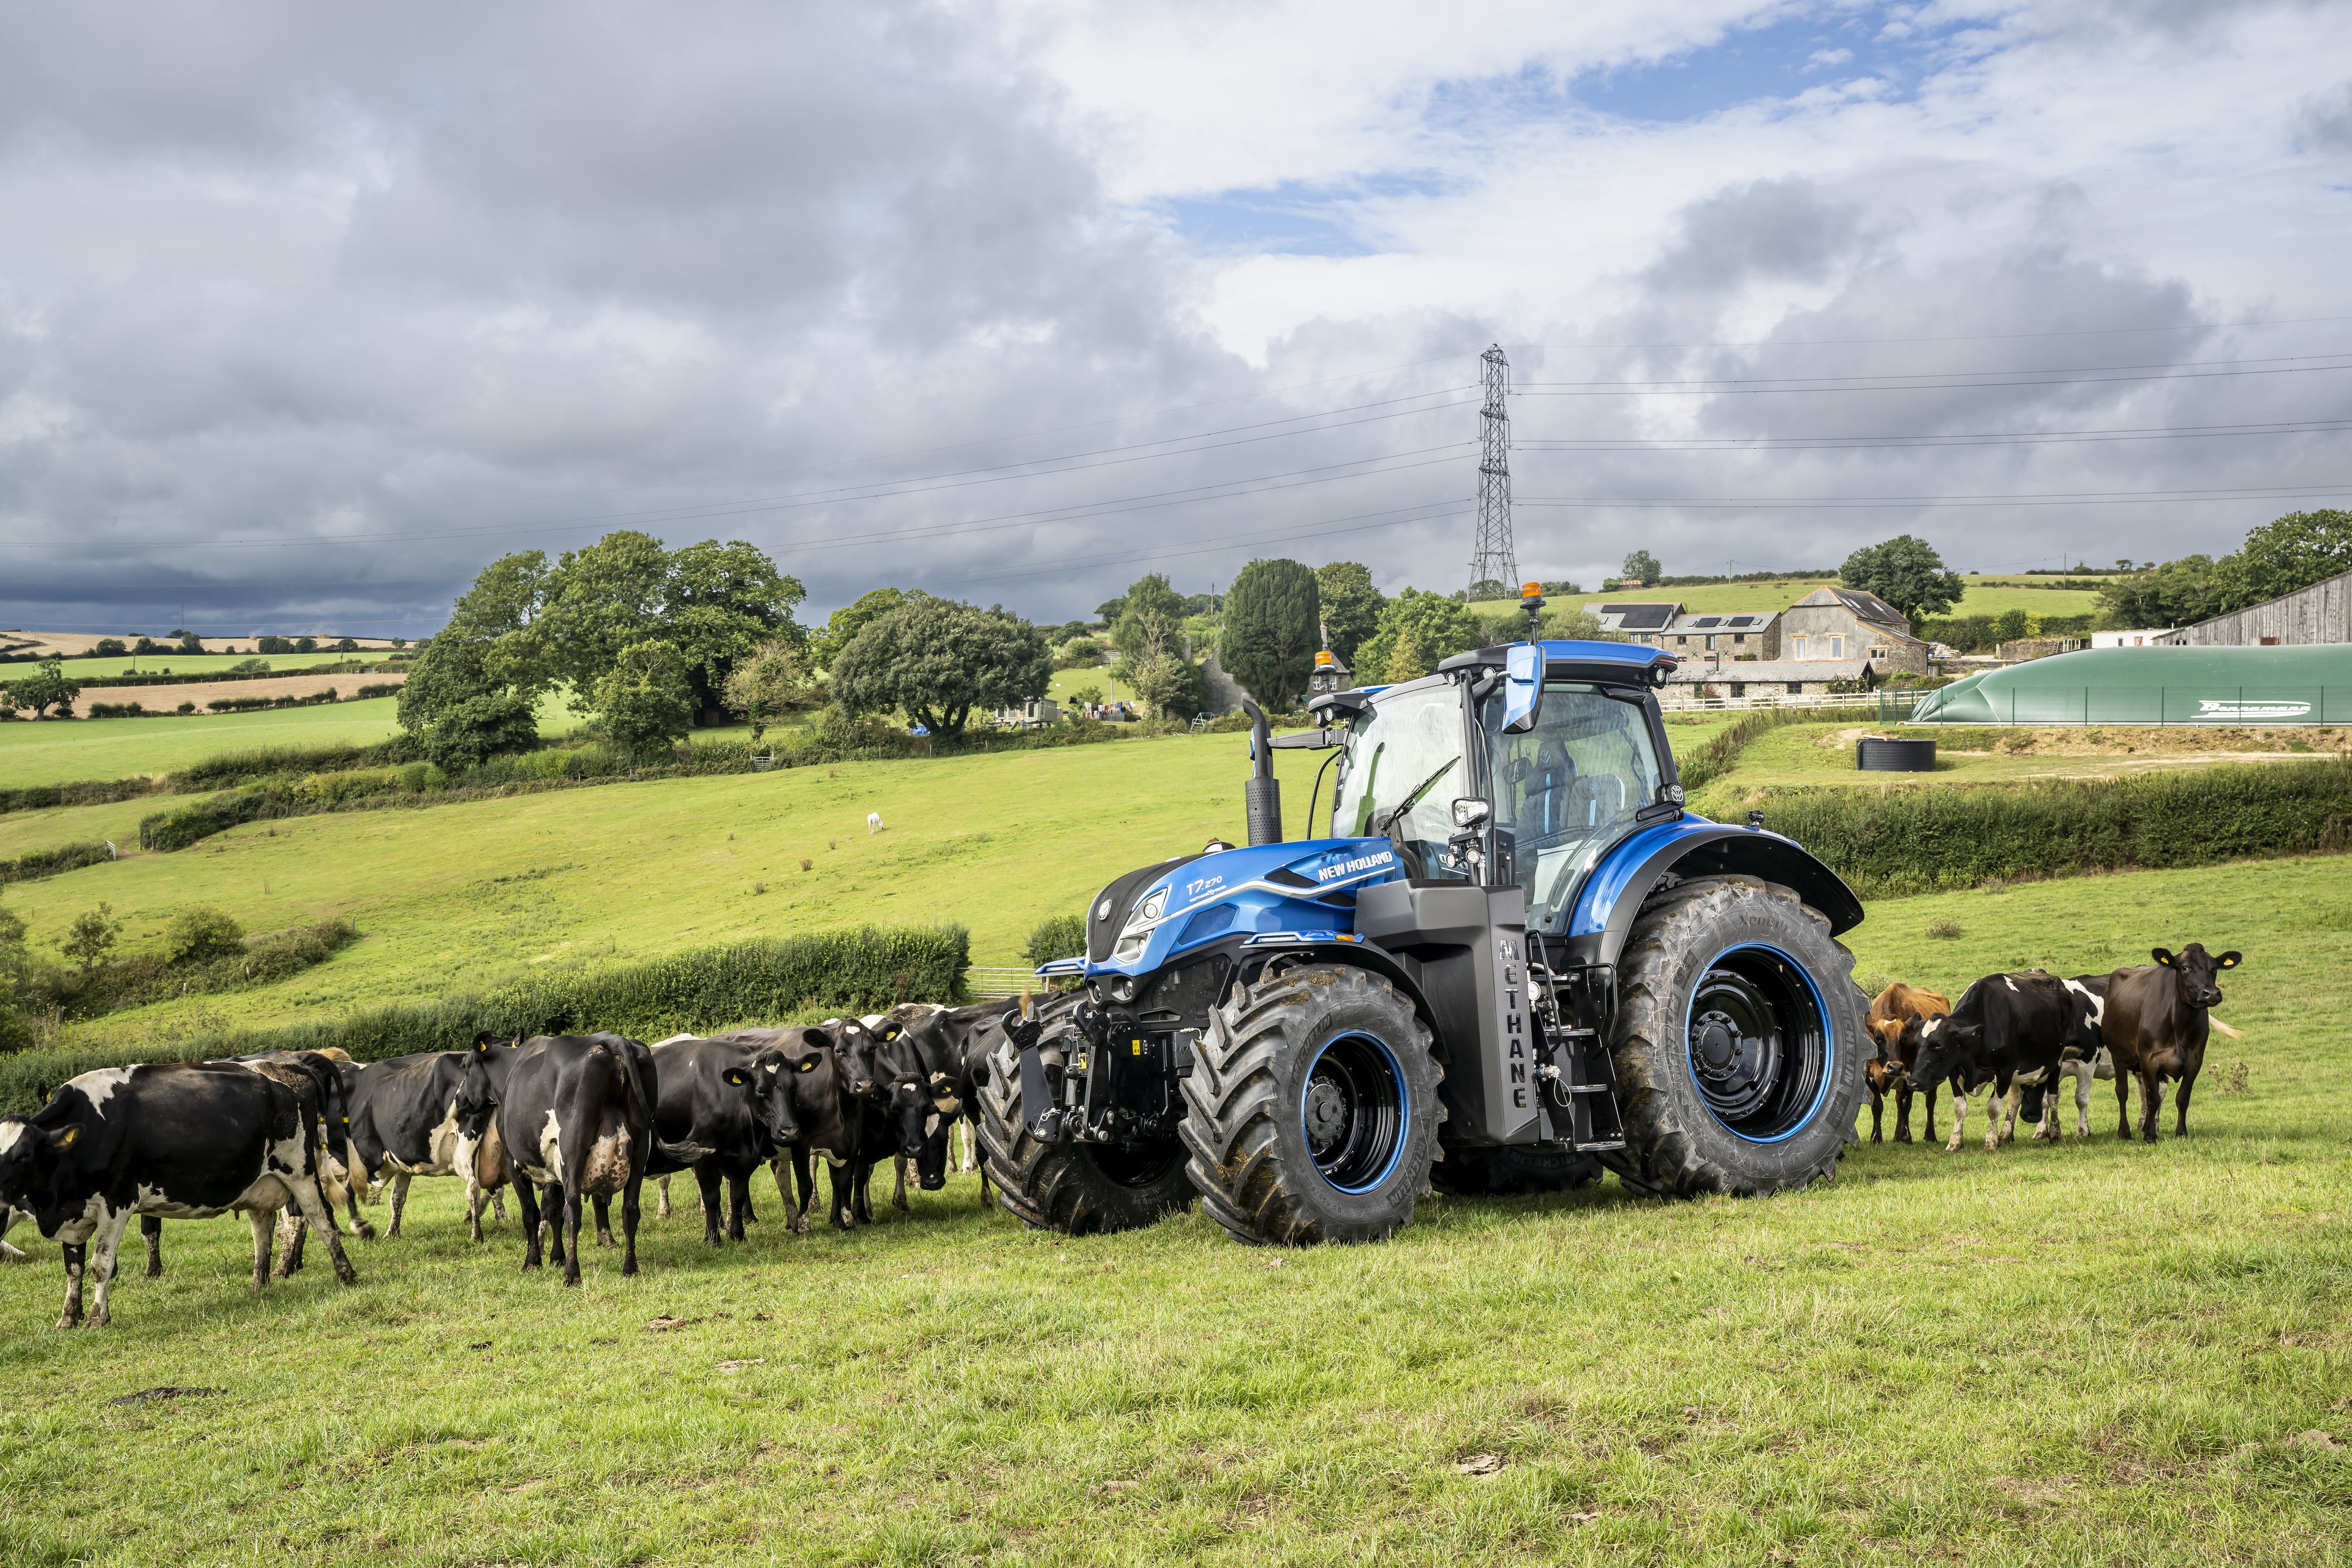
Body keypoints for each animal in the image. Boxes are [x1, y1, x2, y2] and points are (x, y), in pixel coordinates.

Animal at [0, 1062, 357, 1335]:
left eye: (24, 1154)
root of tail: (285, 1066)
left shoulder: (117, 1204)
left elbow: (100, 1267)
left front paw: (97, 1319)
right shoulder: (71, 1214)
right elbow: (73, 1269)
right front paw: (68, 1318)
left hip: (300, 1171)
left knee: (321, 1219)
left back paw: (346, 1275)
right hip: (258, 1183)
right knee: (262, 1230)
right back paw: (259, 1283)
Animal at [1863, 982, 1956, 1142]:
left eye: (1904, 1039)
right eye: (1878, 1038)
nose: (1895, 1067)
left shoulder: (1909, 1074)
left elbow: (1905, 1105)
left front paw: (1905, 1137)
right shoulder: (1869, 1075)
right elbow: (1877, 1105)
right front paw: (1876, 1138)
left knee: (1930, 1103)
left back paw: (1930, 1135)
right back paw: (1896, 1137)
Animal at [1900, 968, 2107, 1152]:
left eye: (1938, 1045)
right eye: (1917, 1042)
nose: (1913, 1081)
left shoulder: (2005, 1071)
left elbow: (1993, 1108)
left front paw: (1990, 1142)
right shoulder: (1955, 1071)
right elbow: (1960, 1108)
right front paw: (1955, 1143)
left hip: (2055, 1064)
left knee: (2053, 1097)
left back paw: (2055, 1134)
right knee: (2017, 1100)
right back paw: (2007, 1135)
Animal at [2107, 944, 2230, 1142]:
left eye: (2215, 969)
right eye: (2185, 968)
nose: (2211, 993)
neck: (2180, 1027)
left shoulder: (2195, 1061)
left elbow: (2182, 1097)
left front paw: (2180, 1132)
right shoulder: (2148, 1059)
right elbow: (2153, 1099)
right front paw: (2150, 1137)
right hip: (2117, 1056)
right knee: (2122, 1092)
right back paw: (2125, 1132)